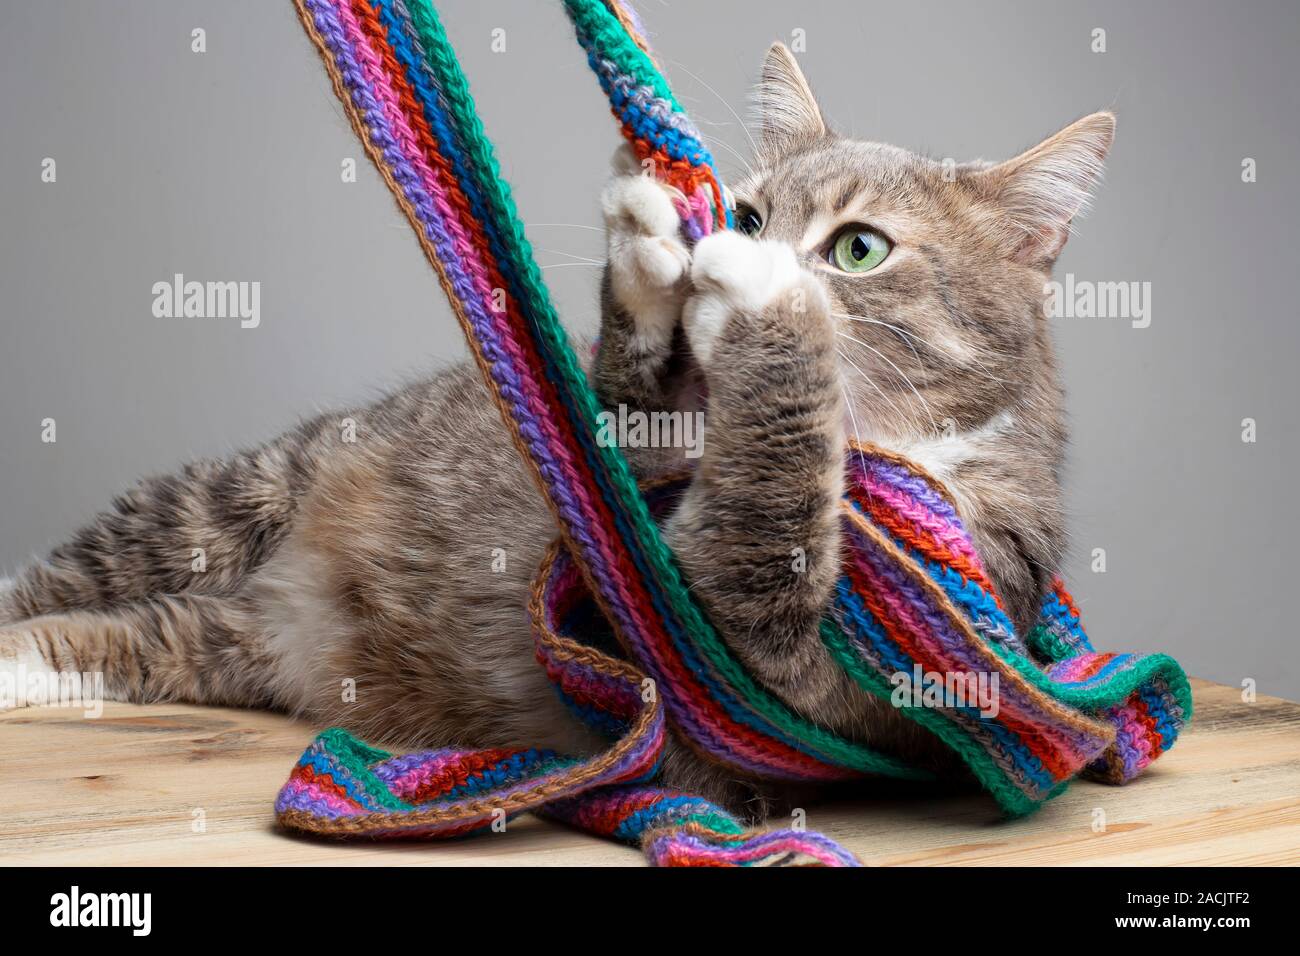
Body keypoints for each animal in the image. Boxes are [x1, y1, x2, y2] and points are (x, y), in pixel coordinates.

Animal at [2, 44, 1118, 816]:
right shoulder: (636, 474)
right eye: (751, 213)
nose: (730, 242)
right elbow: (623, 408)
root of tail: (282, 601)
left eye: (857, 247)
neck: (886, 444)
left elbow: (758, 538)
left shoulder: (845, 656)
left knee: (133, 637)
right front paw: (650, 254)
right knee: (71, 582)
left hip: (225, 631)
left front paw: (773, 308)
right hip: (232, 495)